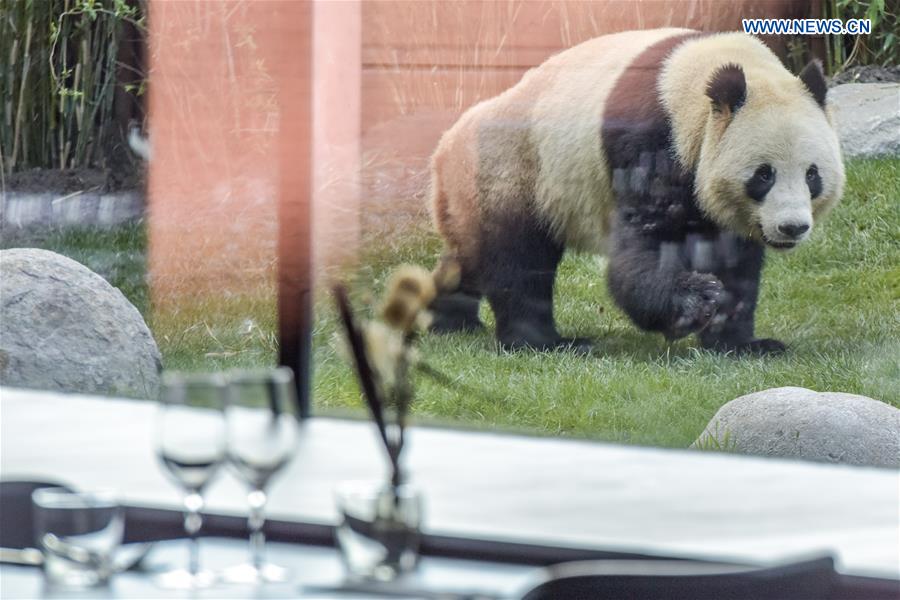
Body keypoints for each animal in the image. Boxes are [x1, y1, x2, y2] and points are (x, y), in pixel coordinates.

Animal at [427, 28, 845, 354]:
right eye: (763, 175)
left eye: (812, 175)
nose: (792, 227)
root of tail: (444, 149)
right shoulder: (649, 141)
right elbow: (644, 247)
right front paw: (694, 300)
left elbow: (735, 260)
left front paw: (743, 344)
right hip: (515, 167)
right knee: (518, 258)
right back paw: (544, 342)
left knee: (469, 255)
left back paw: (447, 318)